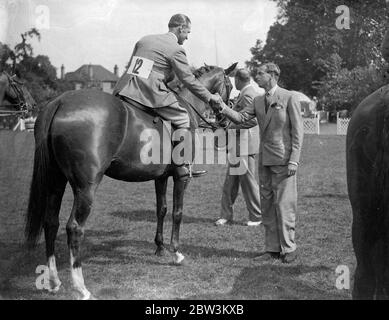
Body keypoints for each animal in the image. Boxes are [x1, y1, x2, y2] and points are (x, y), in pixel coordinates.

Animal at [25, 63, 236, 300]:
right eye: (229, 85)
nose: (226, 117)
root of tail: (60, 102)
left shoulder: (161, 177)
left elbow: (161, 209)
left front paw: (160, 247)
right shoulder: (180, 178)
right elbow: (177, 212)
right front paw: (176, 252)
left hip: (55, 181)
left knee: (51, 222)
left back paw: (53, 280)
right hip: (85, 188)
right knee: (74, 228)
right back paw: (81, 287)